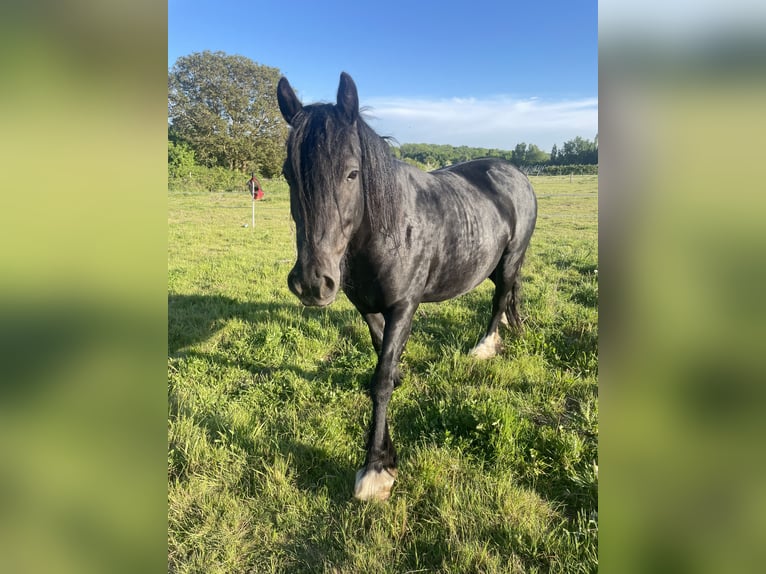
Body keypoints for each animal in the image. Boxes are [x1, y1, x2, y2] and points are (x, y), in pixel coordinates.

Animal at [277, 72, 537, 501]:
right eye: (288, 174)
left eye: (352, 173)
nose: (313, 282)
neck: (390, 230)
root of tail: (514, 172)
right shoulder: (366, 306)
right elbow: (381, 357)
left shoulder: (404, 306)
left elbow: (380, 381)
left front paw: (376, 468)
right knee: (510, 295)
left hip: (511, 258)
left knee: (500, 297)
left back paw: (485, 346)